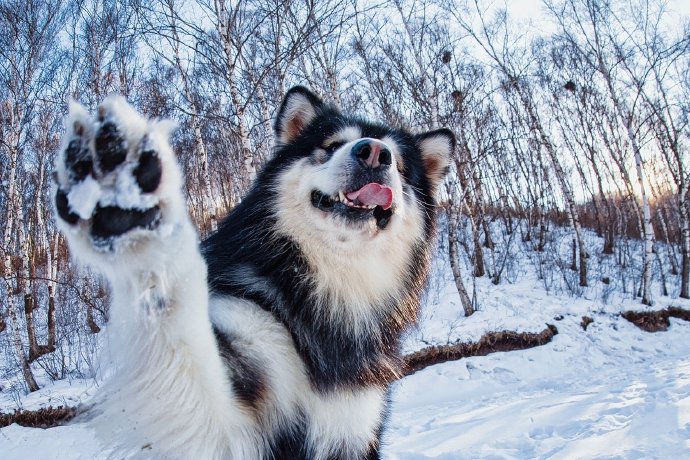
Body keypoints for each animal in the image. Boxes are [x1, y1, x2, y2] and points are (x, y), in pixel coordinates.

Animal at [53, 87, 452, 460]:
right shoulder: (224, 426)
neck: (331, 290)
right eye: (332, 145)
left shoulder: (353, 425)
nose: (373, 153)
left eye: (397, 163)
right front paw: (135, 213)